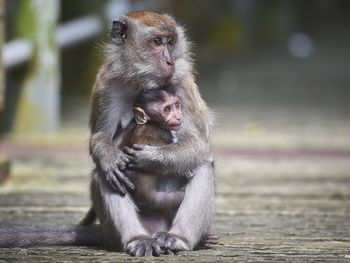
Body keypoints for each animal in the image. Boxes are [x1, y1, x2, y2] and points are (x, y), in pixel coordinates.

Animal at [88, 11, 213, 256]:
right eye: (157, 42)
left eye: (170, 42)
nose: (169, 61)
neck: (142, 80)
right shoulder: (108, 83)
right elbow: (100, 137)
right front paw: (109, 157)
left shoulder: (181, 83)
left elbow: (199, 144)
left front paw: (150, 158)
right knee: (104, 175)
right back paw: (137, 238)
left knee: (202, 165)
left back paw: (178, 238)